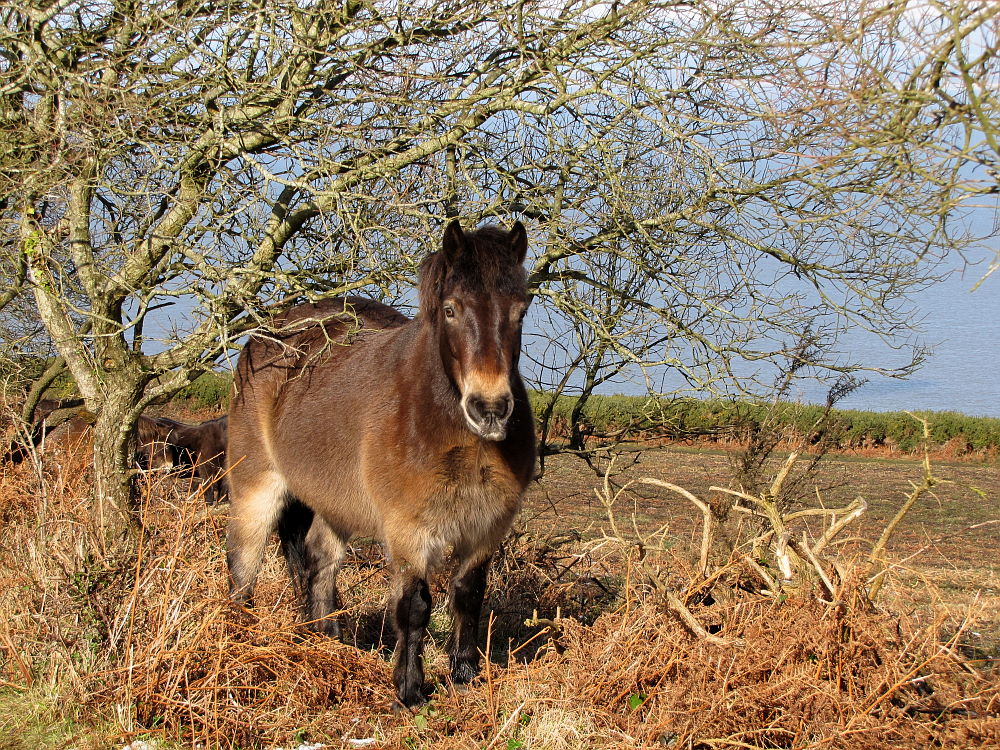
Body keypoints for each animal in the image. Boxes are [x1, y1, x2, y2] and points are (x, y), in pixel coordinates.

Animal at [228, 220, 540, 708]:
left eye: (520, 311)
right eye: (450, 309)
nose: (489, 409)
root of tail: (267, 336)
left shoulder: (486, 527)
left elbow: (468, 594)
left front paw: (465, 674)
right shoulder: (408, 532)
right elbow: (414, 607)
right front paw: (409, 690)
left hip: (334, 501)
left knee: (319, 560)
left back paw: (329, 641)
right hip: (256, 487)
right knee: (243, 564)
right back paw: (240, 644)